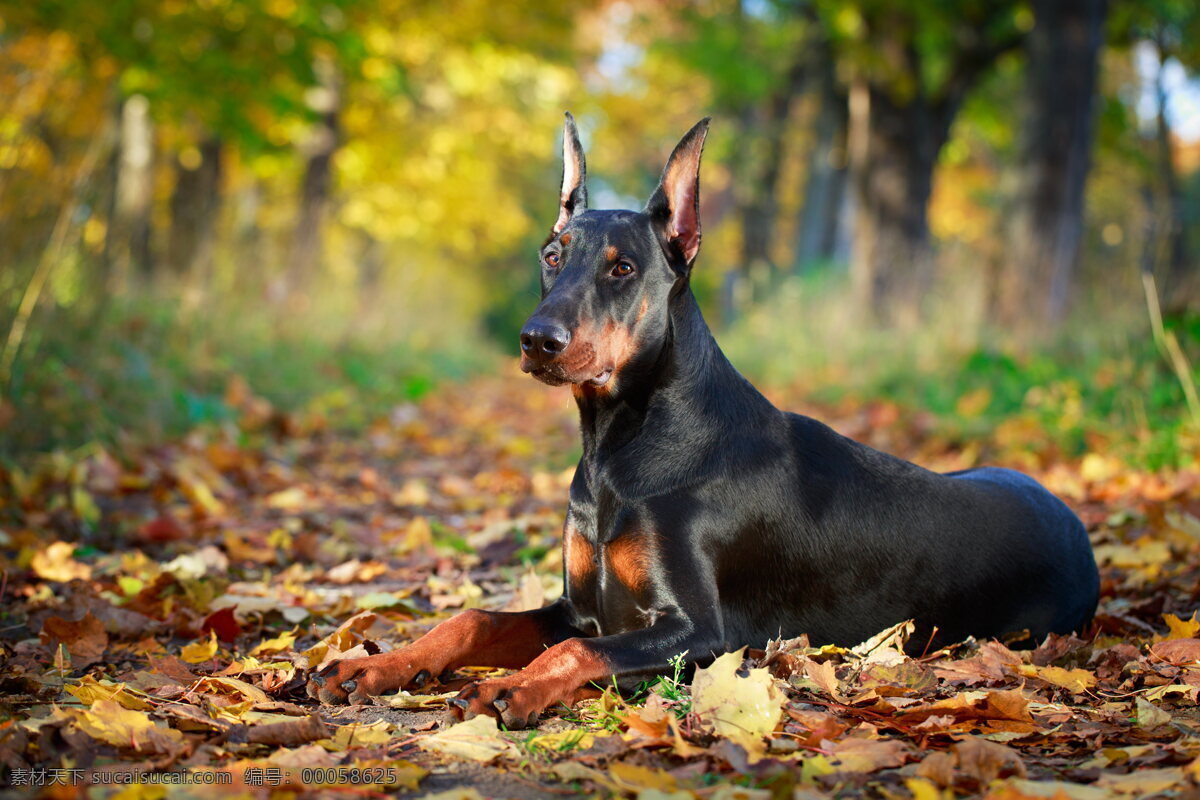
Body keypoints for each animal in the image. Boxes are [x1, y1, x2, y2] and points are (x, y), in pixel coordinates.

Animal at [307, 113, 1099, 734]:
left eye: (623, 269)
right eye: (552, 256)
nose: (537, 340)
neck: (620, 448)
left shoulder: (702, 634)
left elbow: (574, 652)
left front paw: (513, 687)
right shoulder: (581, 606)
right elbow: (472, 619)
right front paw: (374, 666)